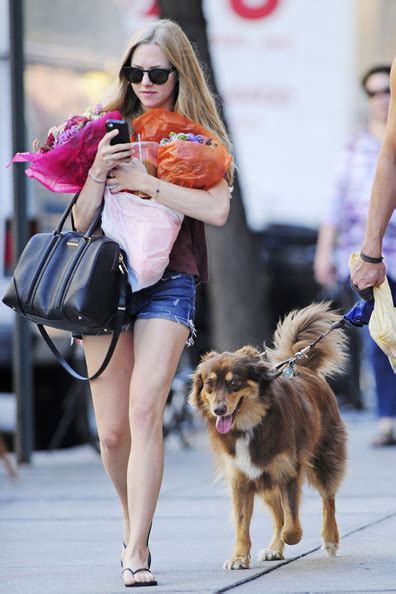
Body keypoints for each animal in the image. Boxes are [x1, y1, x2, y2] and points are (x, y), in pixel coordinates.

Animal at [190, 302, 348, 568]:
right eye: (209, 385)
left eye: (235, 383)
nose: (219, 410)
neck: (250, 426)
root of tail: (302, 366)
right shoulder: (241, 478)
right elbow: (243, 524)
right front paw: (239, 558)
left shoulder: (288, 471)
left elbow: (291, 522)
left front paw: (289, 537)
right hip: (265, 480)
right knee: (277, 513)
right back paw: (275, 547)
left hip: (324, 458)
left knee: (328, 500)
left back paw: (330, 539)